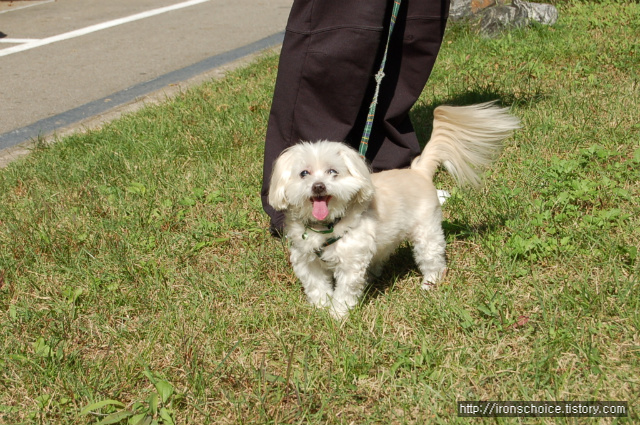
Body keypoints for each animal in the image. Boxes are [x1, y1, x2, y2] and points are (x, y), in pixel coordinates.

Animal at [268, 101, 524, 316]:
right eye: (304, 173)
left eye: (333, 172)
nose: (318, 186)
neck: (326, 226)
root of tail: (418, 171)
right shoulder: (306, 260)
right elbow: (316, 286)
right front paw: (322, 307)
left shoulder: (350, 262)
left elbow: (345, 290)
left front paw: (338, 314)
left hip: (426, 232)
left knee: (432, 257)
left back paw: (430, 282)